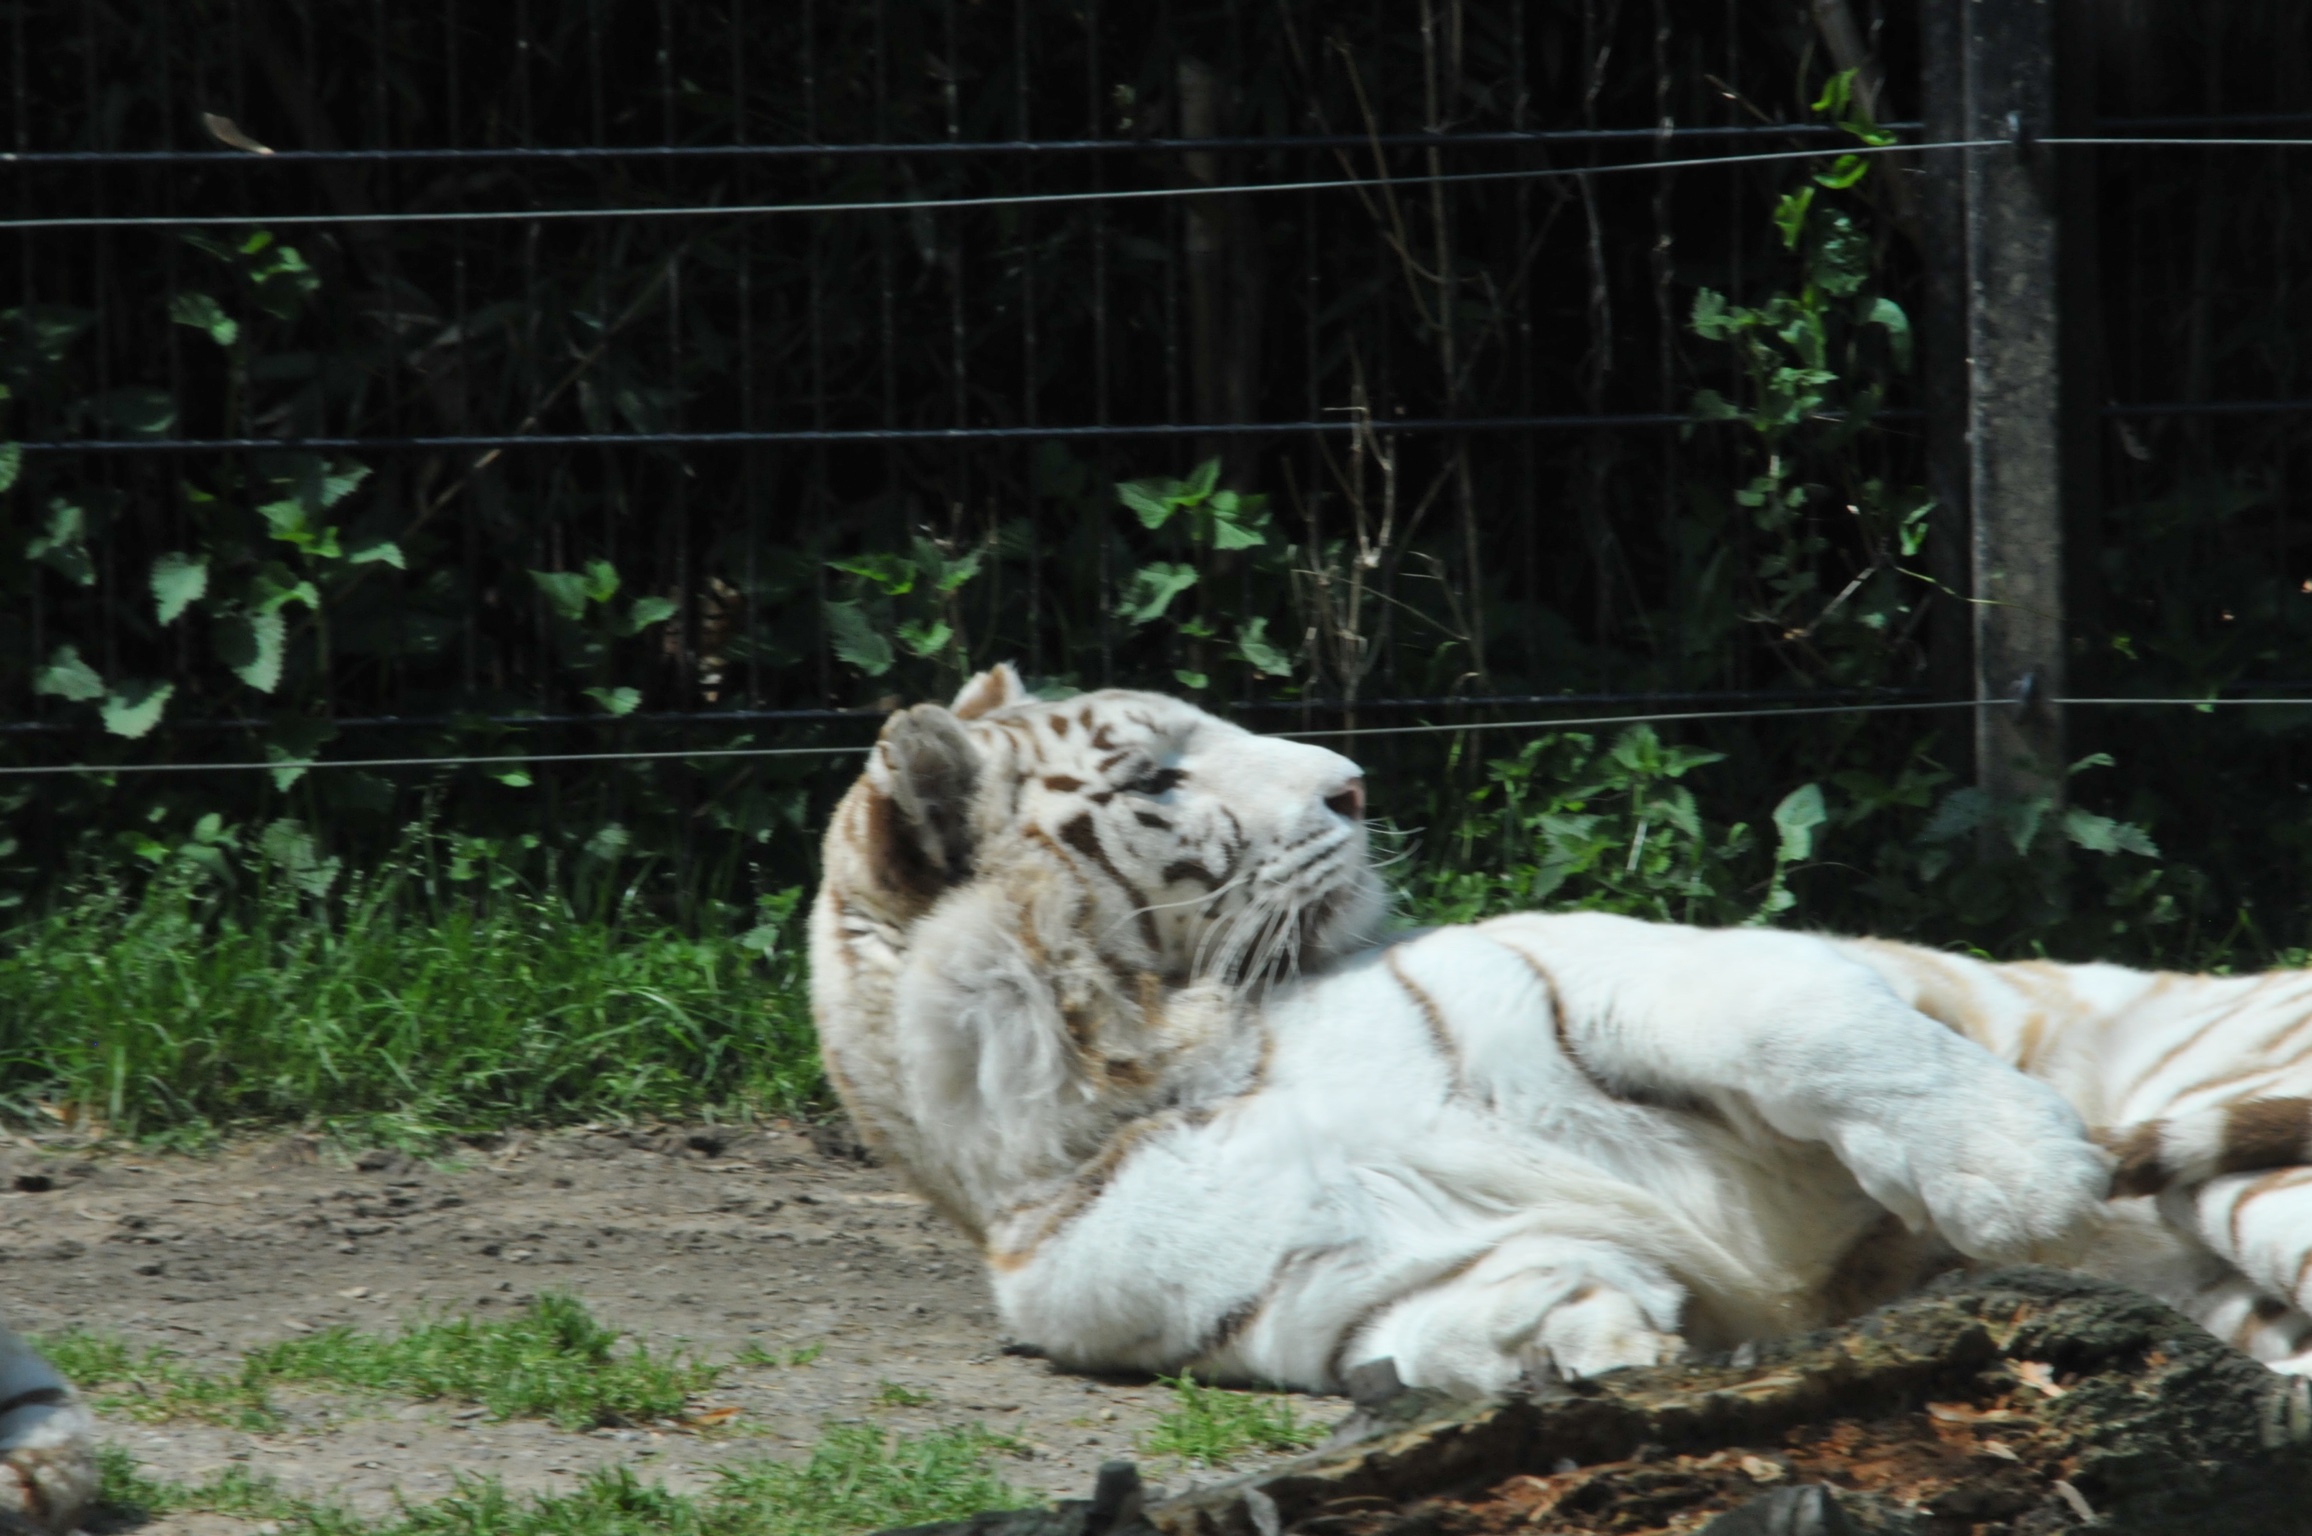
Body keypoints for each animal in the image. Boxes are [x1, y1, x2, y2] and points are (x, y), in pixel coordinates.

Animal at [808, 665, 2312, 1396]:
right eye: (1162, 778)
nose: (1355, 784)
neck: (1158, 1071)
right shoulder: (1322, 1288)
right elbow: (1441, 1323)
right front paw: (1595, 1345)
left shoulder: (1603, 974)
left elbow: (1809, 1021)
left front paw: (2022, 1175)